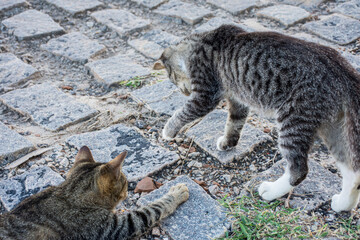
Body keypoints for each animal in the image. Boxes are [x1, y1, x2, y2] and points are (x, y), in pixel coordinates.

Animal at [0, 145, 190, 239]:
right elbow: (152, 209)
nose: (128, 191)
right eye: (125, 183)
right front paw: (177, 193)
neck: (71, 194)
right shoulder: (116, 227)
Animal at [160, 24, 360, 212]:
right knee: (352, 172)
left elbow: (184, 112)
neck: (200, 41)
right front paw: (228, 142)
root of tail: (341, 70)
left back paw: (271, 191)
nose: (184, 92)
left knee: (299, 170)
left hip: (293, 121)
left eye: (171, 78)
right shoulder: (237, 99)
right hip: (334, 130)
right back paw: (343, 204)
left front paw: (168, 130)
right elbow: (234, 122)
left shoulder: (206, 94)